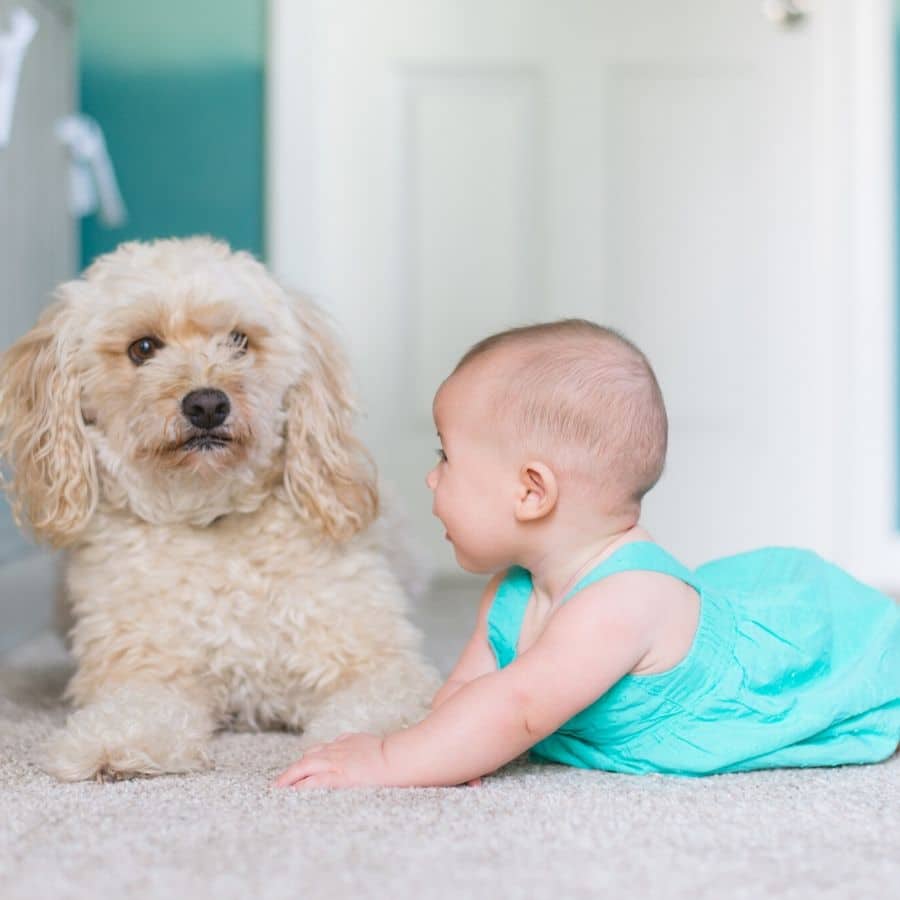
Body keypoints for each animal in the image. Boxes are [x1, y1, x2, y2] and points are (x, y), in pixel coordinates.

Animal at [0, 237, 440, 780]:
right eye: (143, 348)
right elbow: (136, 711)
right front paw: (112, 744)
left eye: (239, 340)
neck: (210, 518)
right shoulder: (146, 671)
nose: (207, 404)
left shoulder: (377, 663)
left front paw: (364, 749)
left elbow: (380, 707)